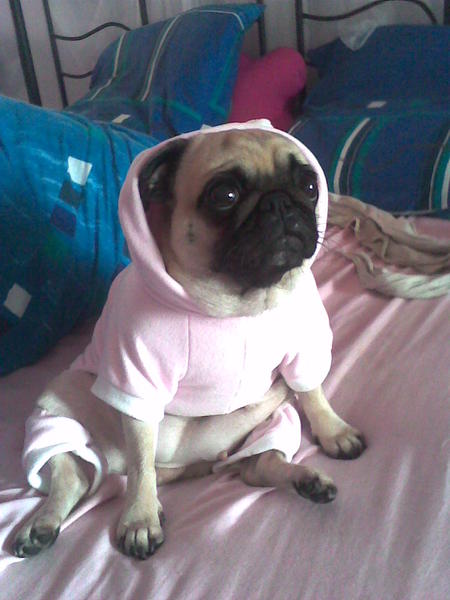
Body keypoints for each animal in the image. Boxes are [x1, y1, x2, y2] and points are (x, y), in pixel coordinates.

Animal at [13, 122, 366, 561]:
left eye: (308, 185)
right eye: (225, 196)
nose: (280, 202)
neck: (238, 303)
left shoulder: (301, 350)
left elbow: (313, 393)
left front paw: (334, 432)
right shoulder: (137, 380)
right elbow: (142, 461)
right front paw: (141, 519)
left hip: (277, 417)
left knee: (259, 466)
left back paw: (306, 481)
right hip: (59, 408)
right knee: (75, 476)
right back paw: (42, 525)